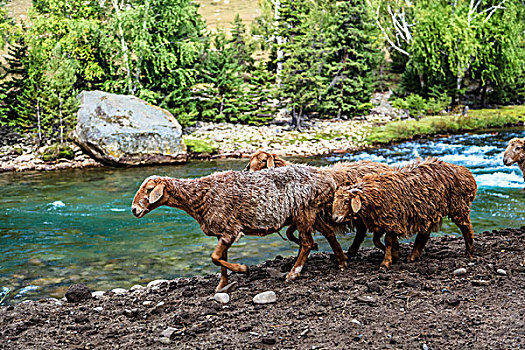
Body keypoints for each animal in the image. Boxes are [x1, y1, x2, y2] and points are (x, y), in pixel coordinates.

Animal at [133, 165, 348, 292]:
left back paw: (293, 273)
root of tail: (328, 179)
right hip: (312, 212)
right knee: (328, 233)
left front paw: (243, 269)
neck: (197, 197)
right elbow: (220, 259)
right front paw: (222, 285)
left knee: (307, 243)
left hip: (305, 211)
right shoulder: (221, 232)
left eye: (149, 190)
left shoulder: (230, 230)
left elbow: (215, 257)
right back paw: (342, 262)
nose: (134, 210)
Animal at [244, 150, 390, 258]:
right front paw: (311, 247)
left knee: (361, 231)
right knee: (361, 230)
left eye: (263, 161)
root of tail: (385, 166)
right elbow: (290, 233)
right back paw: (351, 252)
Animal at [334, 157, 476, 270]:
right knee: (424, 233)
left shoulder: (392, 220)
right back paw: (413, 256)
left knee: (466, 227)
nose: (335, 218)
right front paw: (395, 253)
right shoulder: (382, 222)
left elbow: (388, 241)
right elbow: (376, 241)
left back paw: (469, 252)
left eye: (346, 201)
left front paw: (386, 262)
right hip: (429, 211)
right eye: (335, 200)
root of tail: (467, 173)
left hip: (458, 206)